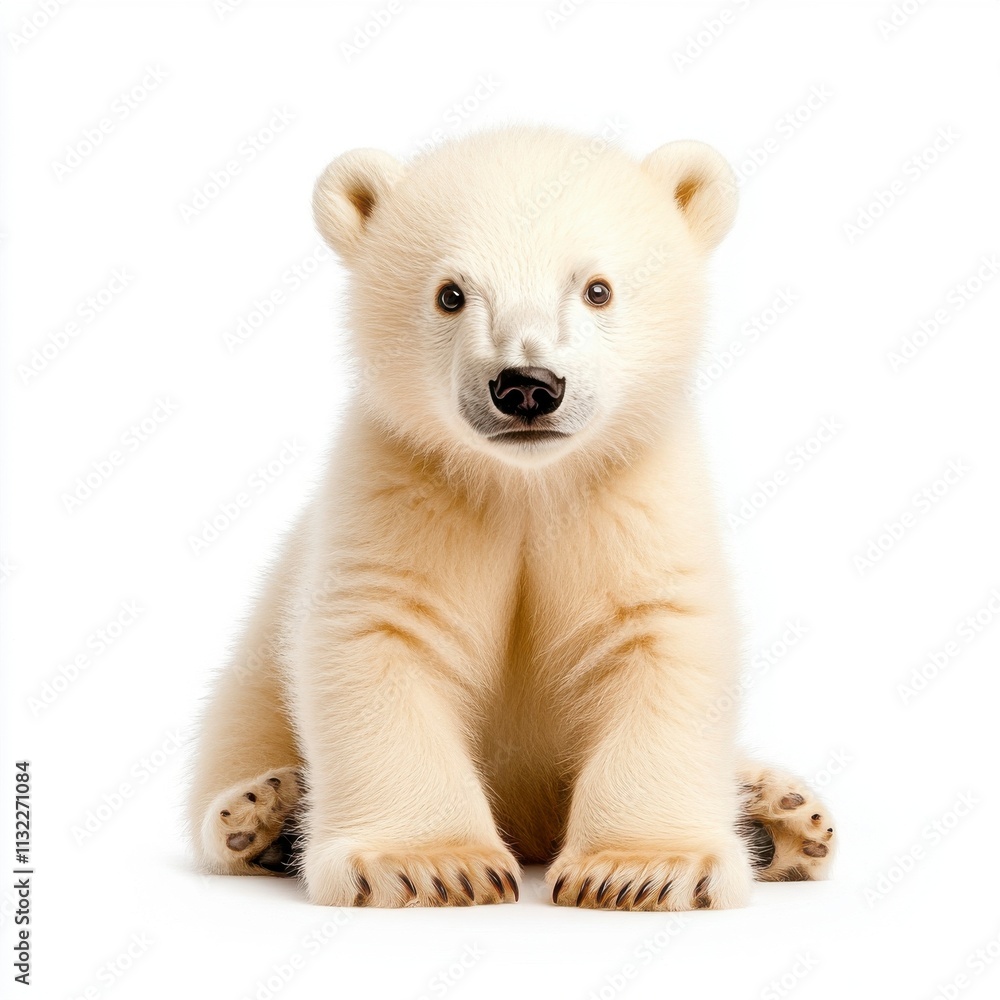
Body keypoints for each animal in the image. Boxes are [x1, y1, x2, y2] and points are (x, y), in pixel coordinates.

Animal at [187, 126, 835, 909]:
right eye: (451, 294)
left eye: (596, 289)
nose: (527, 385)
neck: (525, 485)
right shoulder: (408, 482)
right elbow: (383, 632)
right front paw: (434, 866)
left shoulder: (629, 494)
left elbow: (657, 634)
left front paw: (644, 869)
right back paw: (265, 814)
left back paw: (780, 818)